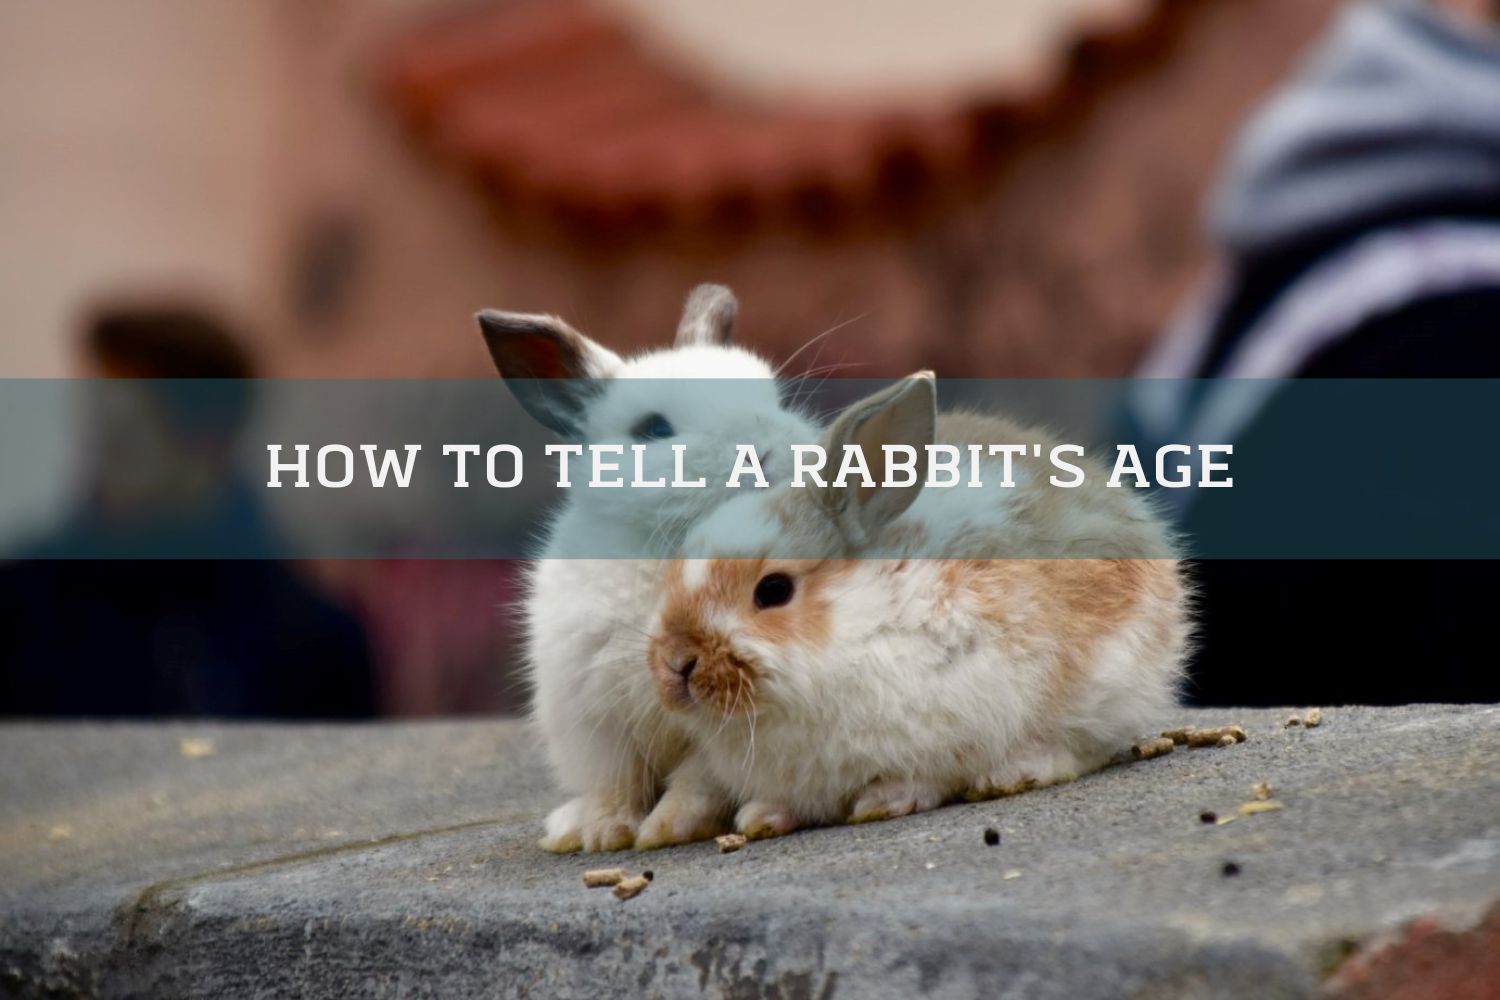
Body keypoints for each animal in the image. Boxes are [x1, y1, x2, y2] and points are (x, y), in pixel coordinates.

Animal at [477, 283, 822, 851]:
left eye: (771, 399)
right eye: (654, 429)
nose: (767, 454)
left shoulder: (713, 730)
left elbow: (696, 783)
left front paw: (666, 830)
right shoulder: (597, 723)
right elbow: (615, 785)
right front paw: (605, 835)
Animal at [639, 374, 1188, 845]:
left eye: (773, 590)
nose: (676, 663)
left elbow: (924, 774)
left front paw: (884, 801)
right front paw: (762, 816)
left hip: (1106, 684)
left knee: (1079, 745)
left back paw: (1013, 773)